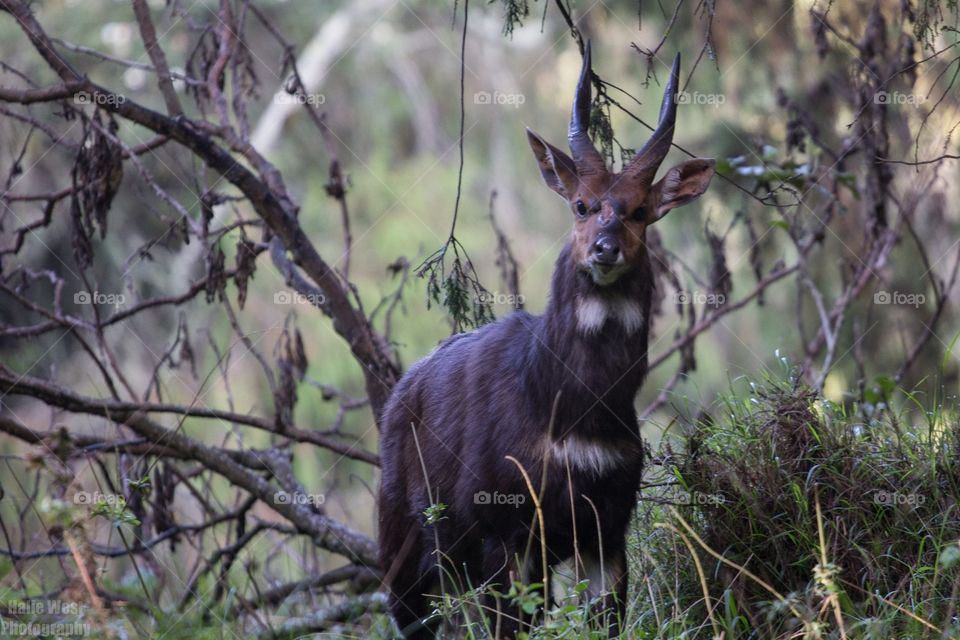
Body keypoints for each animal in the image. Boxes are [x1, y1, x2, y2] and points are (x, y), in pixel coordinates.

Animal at [378, 42, 716, 636]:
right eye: (582, 204)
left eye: (640, 211)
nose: (605, 249)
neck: (572, 409)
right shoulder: (504, 534)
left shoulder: (606, 530)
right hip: (406, 558)